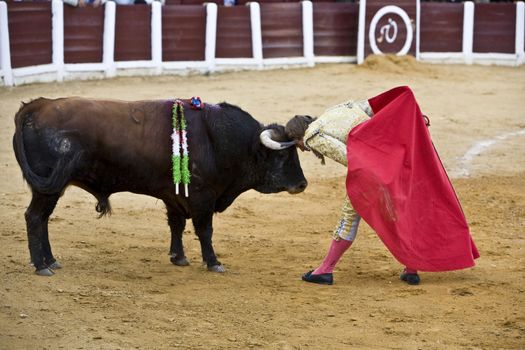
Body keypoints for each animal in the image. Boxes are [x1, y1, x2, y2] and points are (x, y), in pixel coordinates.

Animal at [12, 98, 308, 276]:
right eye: (283, 155)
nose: (302, 184)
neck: (221, 139)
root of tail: (36, 106)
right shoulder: (202, 197)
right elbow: (205, 230)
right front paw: (213, 262)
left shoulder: (174, 196)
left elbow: (176, 225)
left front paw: (178, 257)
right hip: (48, 187)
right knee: (34, 217)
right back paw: (41, 265)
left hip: (52, 188)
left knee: (43, 219)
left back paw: (50, 260)